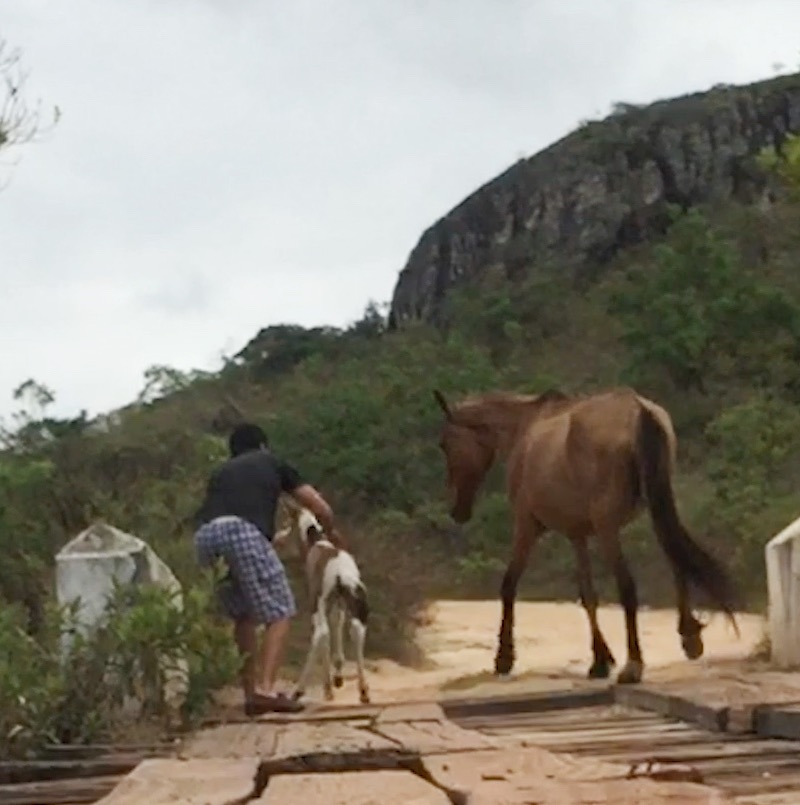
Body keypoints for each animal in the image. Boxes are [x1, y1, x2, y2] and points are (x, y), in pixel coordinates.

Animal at [274, 508, 370, 704]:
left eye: (288, 521)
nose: (278, 538)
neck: (316, 542)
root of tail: (341, 574)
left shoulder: (318, 600)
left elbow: (323, 633)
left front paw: (330, 686)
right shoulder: (338, 603)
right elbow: (337, 625)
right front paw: (338, 677)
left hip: (319, 601)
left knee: (321, 633)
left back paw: (304, 690)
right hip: (350, 601)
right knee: (356, 630)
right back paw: (363, 691)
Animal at [432, 386, 736, 680]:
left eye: (445, 444)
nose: (457, 511)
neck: (525, 428)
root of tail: (636, 409)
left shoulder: (527, 526)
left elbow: (509, 585)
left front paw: (504, 657)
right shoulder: (577, 534)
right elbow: (588, 594)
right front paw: (601, 660)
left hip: (608, 528)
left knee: (628, 585)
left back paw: (634, 664)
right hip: (654, 507)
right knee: (677, 562)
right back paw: (689, 636)